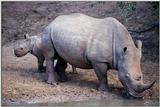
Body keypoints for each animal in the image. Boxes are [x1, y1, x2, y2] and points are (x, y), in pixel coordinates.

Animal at [16, 12, 155, 97]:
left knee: (62, 57)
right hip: (47, 32)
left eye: (141, 76)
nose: (138, 97)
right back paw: (54, 84)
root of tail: (51, 22)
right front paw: (104, 90)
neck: (121, 51)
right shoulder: (98, 60)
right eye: (126, 76)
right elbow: (102, 75)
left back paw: (65, 80)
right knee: (50, 56)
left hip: (60, 34)